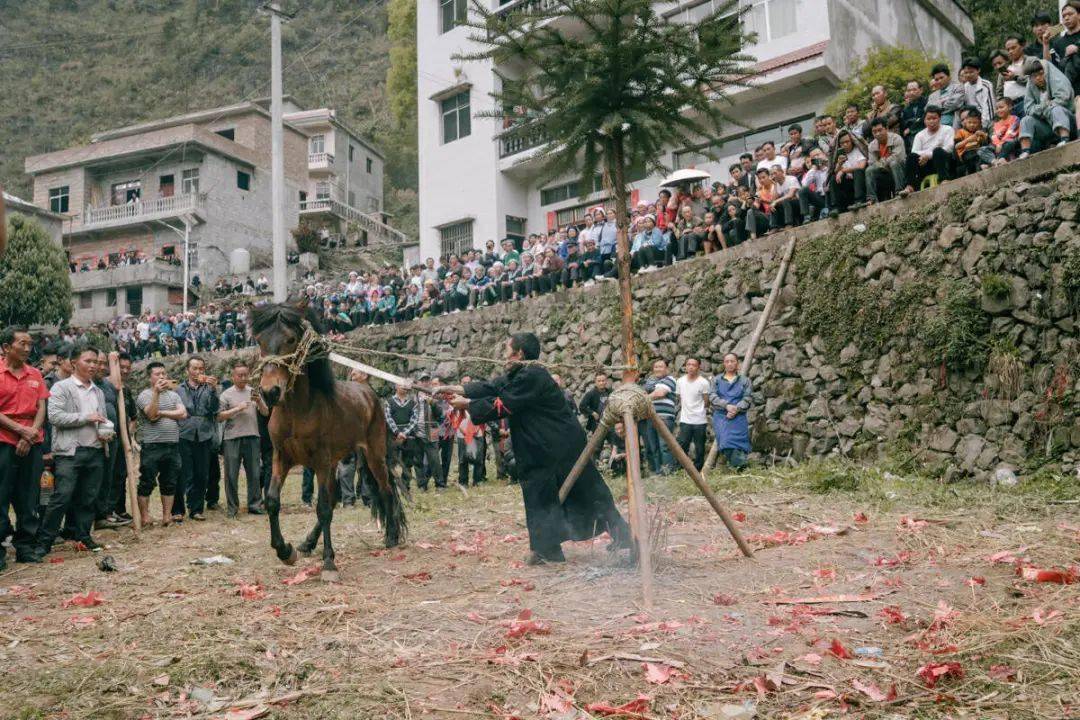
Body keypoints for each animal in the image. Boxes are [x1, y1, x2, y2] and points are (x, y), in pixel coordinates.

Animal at [250, 297, 406, 578]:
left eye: (291, 339)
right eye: (259, 340)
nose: (269, 392)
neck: (298, 411)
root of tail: (370, 394)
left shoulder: (321, 460)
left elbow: (322, 508)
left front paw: (329, 562)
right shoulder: (282, 457)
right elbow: (273, 501)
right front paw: (285, 551)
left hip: (373, 454)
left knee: (386, 489)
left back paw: (391, 537)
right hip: (337, 461)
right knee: (335, 499)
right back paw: (307, 544)